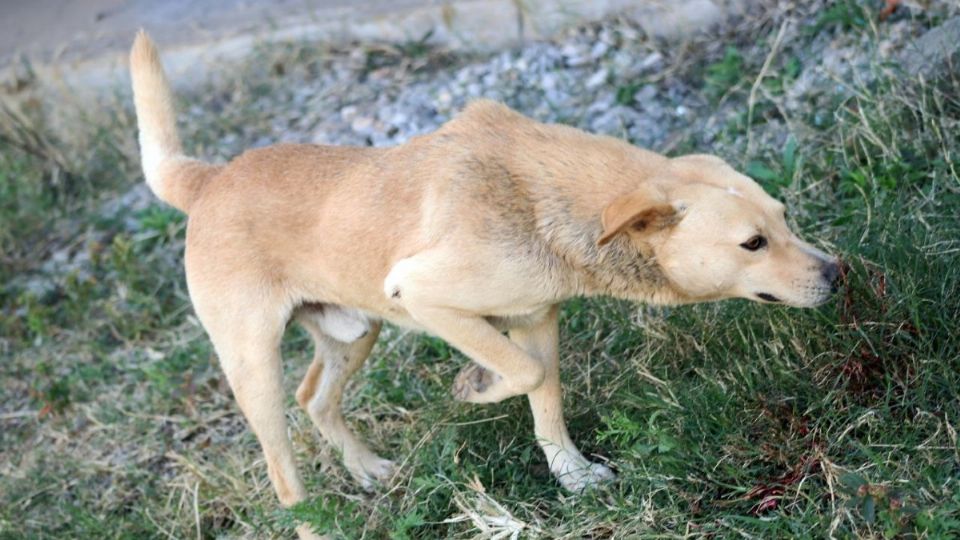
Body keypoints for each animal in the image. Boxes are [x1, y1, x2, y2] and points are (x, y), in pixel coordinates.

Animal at [129, 31, 840, 536]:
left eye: (784, 217)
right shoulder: (423, 295)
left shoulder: (537, 316)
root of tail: (209, 180)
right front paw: (477, 386)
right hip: (255, 368)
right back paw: (315, 522)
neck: (539, 195)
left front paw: (572, 477)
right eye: (752, 243)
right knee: (285, 477)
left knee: (317, 399)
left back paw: (368, 468)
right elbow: (523, 373)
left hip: (354, 332)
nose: (837, 273)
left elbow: (547, 401)